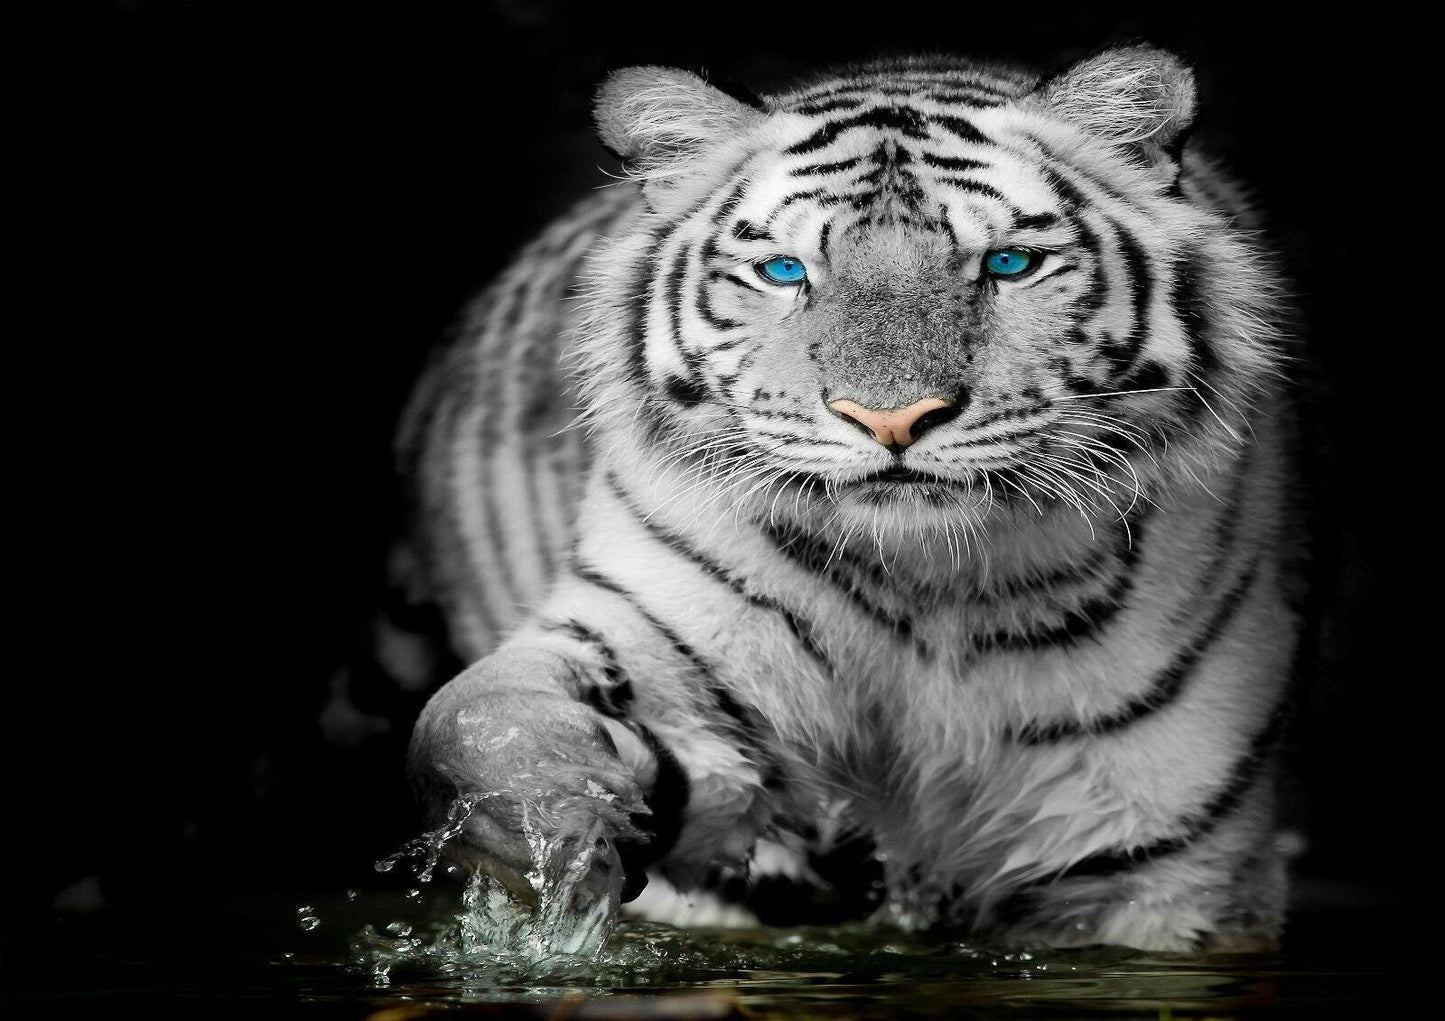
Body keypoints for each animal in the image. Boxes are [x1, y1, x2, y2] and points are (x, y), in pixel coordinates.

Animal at [378, 46, 1302, 953]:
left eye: (1008, 263)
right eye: (784, 271)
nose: (891, 419)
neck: (928, 584)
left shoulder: (1159, 861)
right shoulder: (655, 634)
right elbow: (468, 718)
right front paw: (558, 814)